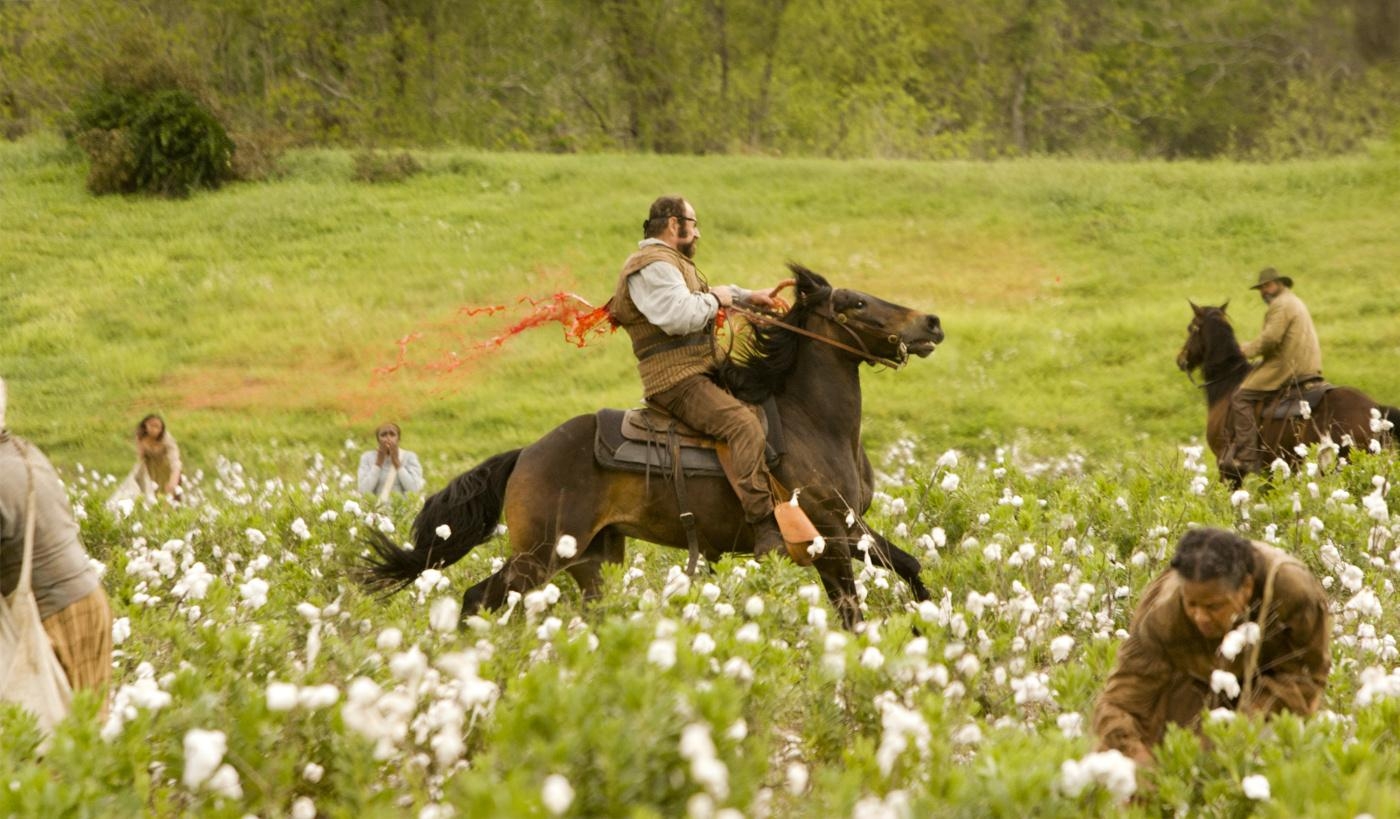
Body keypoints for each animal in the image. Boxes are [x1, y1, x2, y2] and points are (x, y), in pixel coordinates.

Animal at [361, 266, 946, 627]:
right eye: (855, 302)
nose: (932, 322)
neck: (813, 425)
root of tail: (527, 453)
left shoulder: (852, 529)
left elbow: (910, 566)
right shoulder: (831, 536)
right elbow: (858, 608)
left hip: (590, 559)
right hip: (539, 556)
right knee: (477, 598)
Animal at [1176, 299, 1394, 481]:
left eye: (1191, 328)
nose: (1181, 359)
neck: (1228, 384)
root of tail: (1376, 409)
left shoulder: (1227, 469)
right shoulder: (1269, 468)